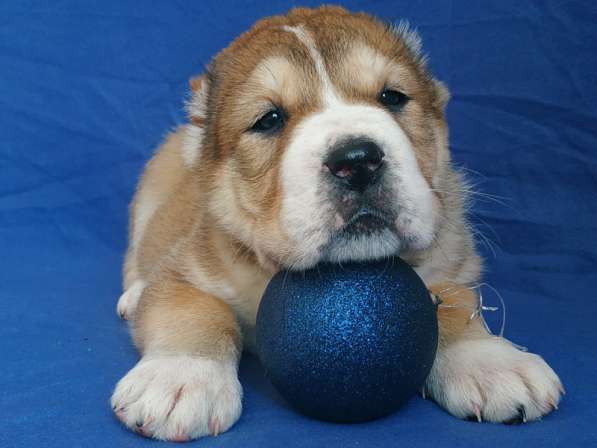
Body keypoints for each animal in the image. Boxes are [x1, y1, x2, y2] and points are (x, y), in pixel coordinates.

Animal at [112, 6, 564, 440]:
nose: (358, 161)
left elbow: (455, 300)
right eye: (269, 119)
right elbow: (194, 309)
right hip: (150, 193)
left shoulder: (450, 258)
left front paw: (491, 362)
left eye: (392, 97)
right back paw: (134, 296)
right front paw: (180, 378)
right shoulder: (189, 267)